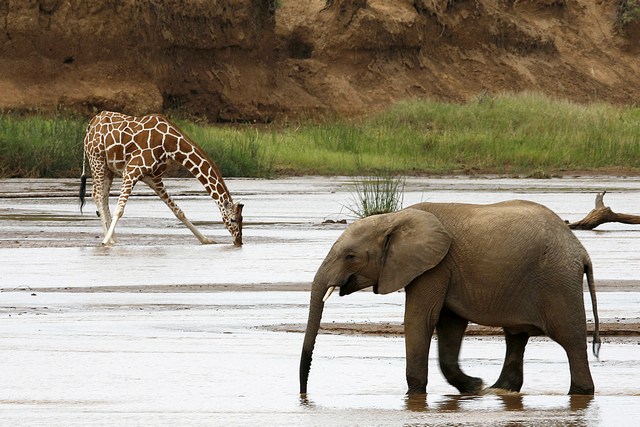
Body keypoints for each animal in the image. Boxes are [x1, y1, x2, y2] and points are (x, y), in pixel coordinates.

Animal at [78, 110, 242, 247]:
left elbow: (178, 212)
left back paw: (114, 238)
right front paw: (105, 241)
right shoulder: (131, 171)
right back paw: (109, 239)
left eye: (242, 219)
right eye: (233, 219)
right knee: (97, 195)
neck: (169, 144)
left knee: (103, 196)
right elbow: (120, 209)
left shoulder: (155, 179)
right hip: (96, 159)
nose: (239, 241)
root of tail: (90, 125)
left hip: (108, 168)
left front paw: (206, 240)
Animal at [300, 202, 600, 396]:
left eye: (350, 257)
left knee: (570, 339)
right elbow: (449, 325)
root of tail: (581, 250)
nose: (303, 395)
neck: (394, 218)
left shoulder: (435, 266)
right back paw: (498, 390)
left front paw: (415, 395)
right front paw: (474, 386)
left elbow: (421, 318)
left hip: (557, 282)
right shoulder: (442, 268)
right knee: (516, 337)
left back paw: (580, 393)